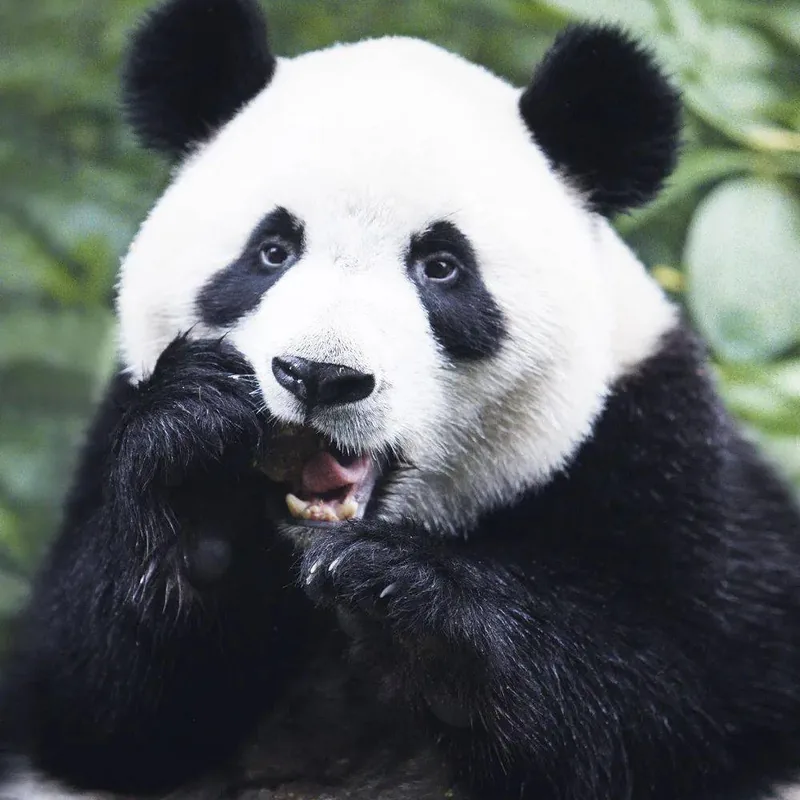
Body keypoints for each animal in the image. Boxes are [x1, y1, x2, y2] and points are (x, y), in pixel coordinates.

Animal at [2, 0, 800, 798]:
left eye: (441, 266)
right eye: (272, 251)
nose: (320, 375)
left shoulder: (661, 459)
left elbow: (677, 691)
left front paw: (414, 603)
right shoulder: (114, 431)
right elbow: (94, 703)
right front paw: (196, 476)